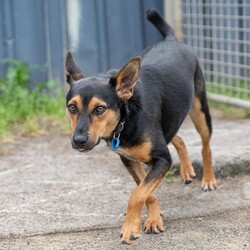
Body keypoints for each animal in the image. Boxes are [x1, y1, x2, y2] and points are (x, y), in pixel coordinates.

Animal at [65, 8, 217, 244]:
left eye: (100, 109)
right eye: (72, 107)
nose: (78, 141)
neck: (126, 117)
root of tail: (172, 40)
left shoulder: (162, 159)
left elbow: (136, 195)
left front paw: (130, 228)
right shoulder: (130, 160)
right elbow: (145, 191)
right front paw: (153, 219)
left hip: (200, 110)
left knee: (206, 145)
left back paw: (208, 178)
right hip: (169, 122)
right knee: (178, 137)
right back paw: (186, 170)